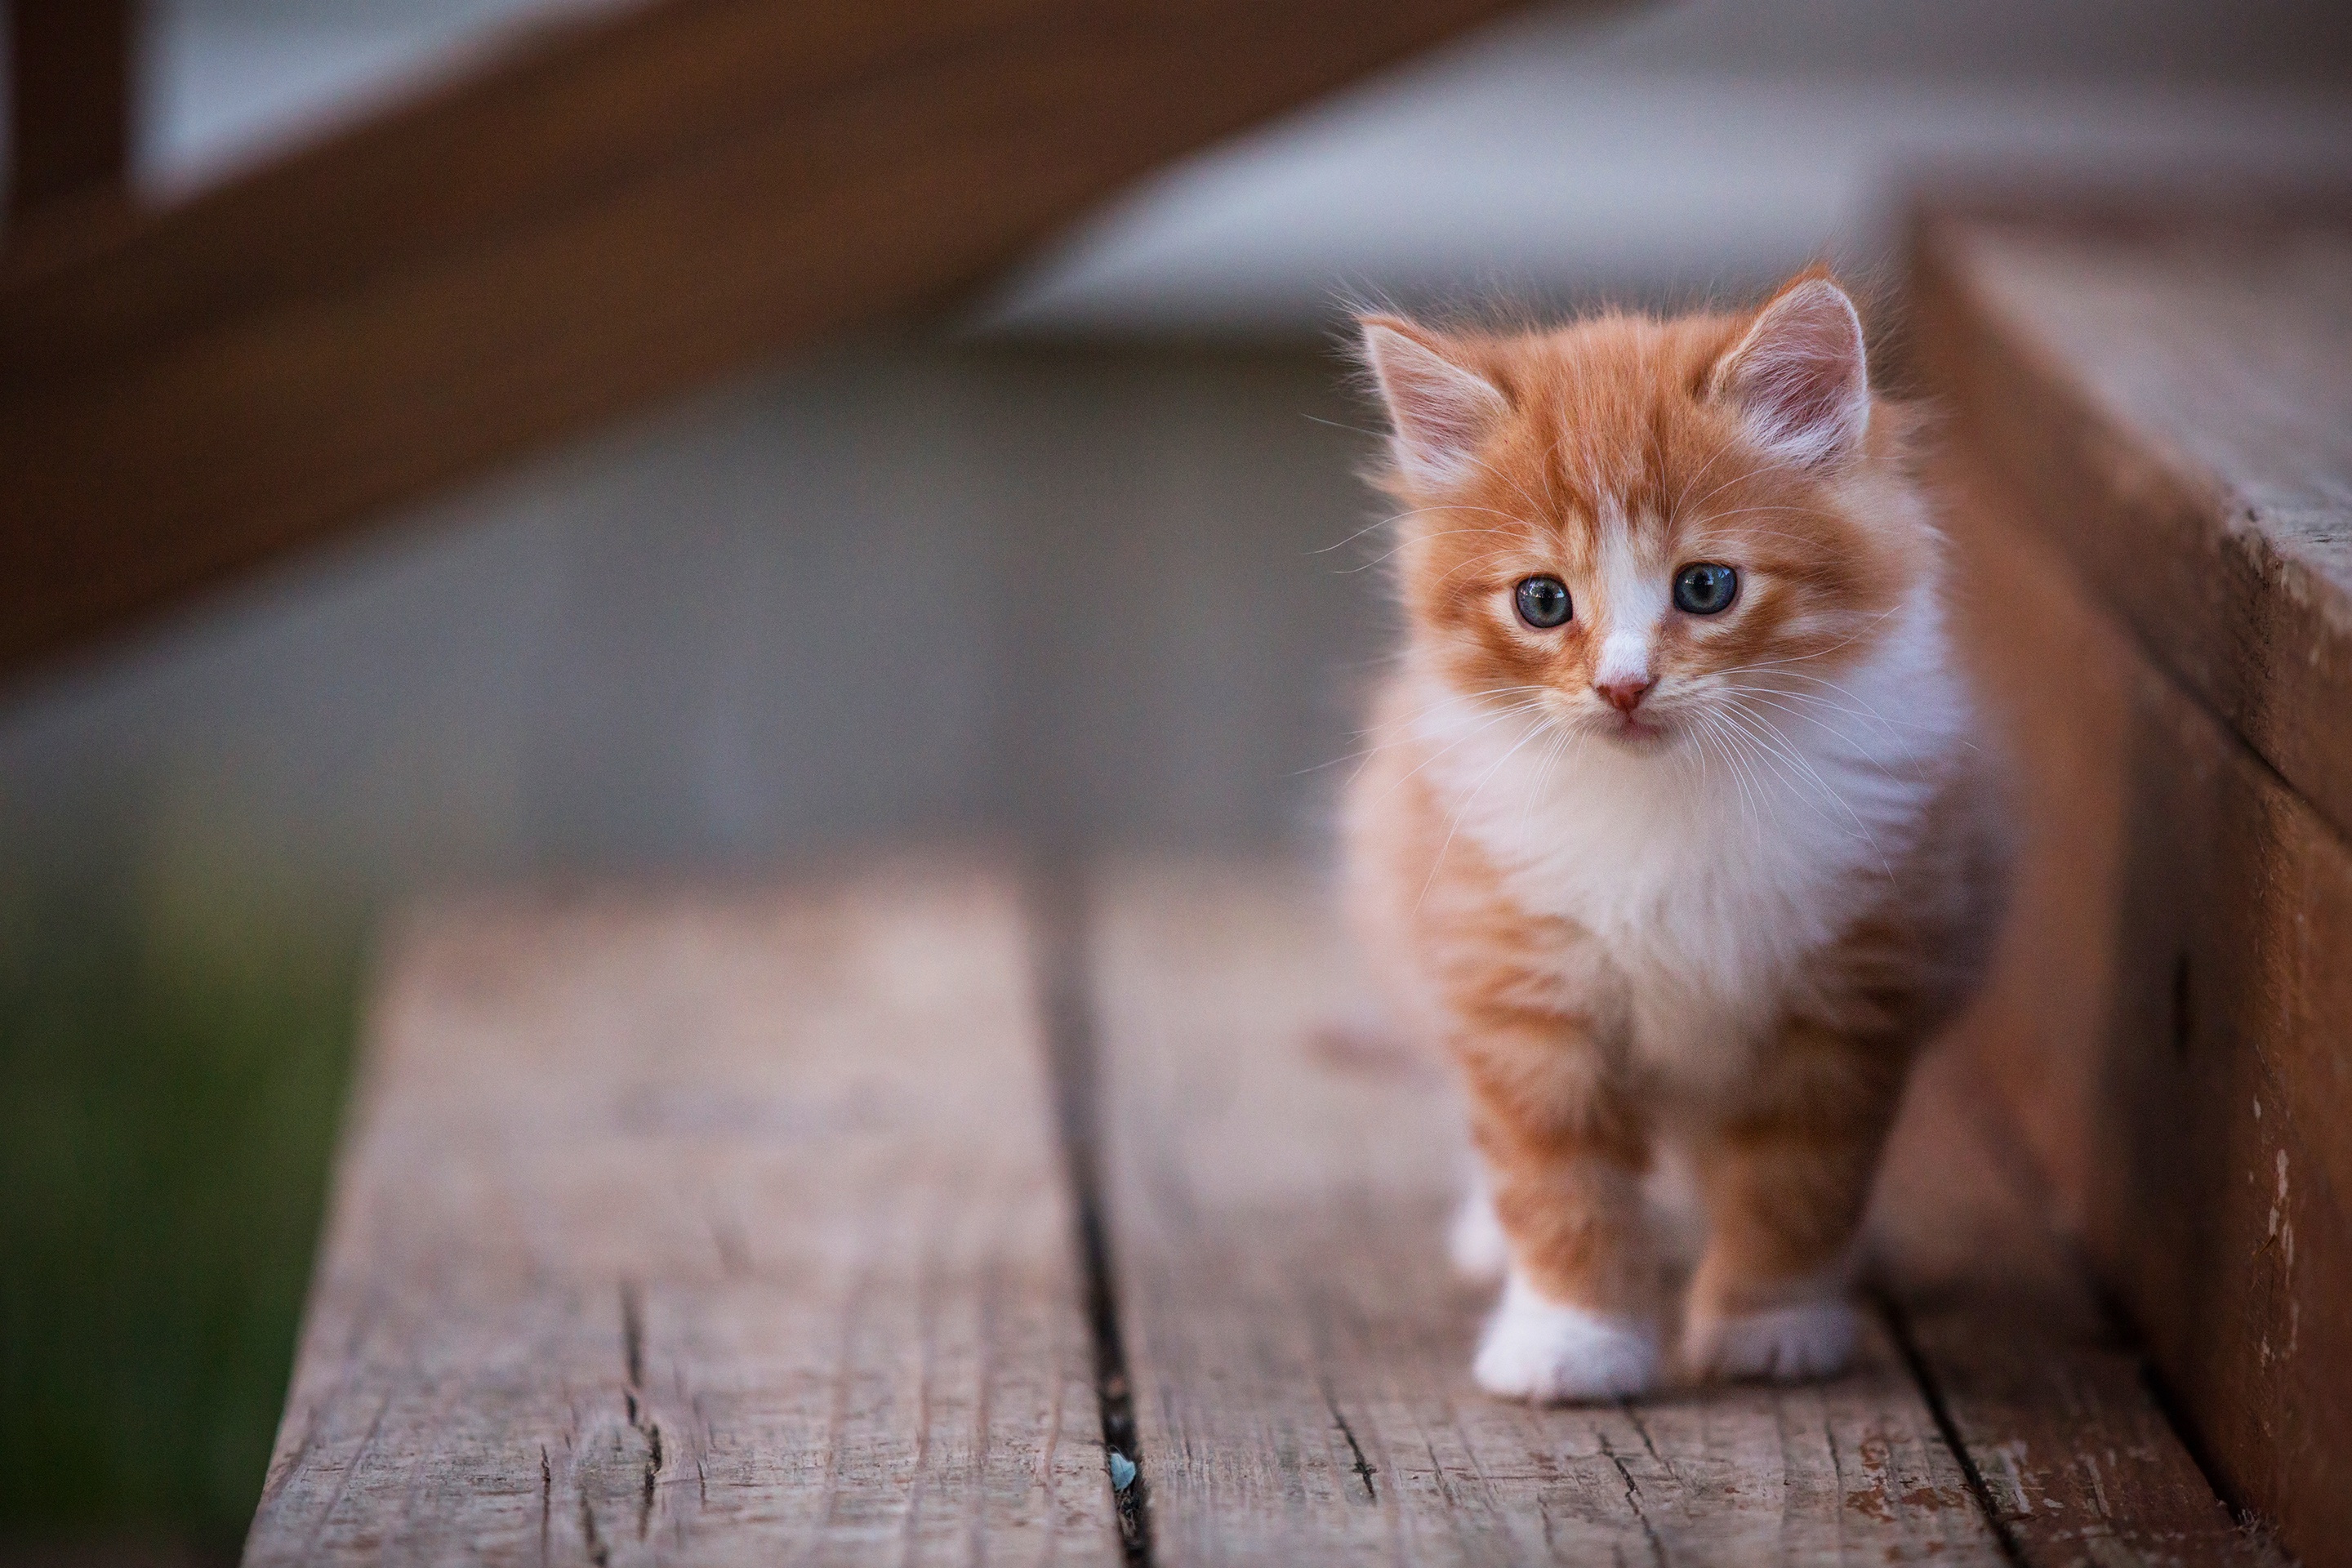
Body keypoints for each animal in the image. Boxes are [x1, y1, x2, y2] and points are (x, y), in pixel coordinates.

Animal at [1345, 276, 2003, 1401]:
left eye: (1705, 587)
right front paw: (1569, 1336)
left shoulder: (1849, 993)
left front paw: (1772, 1323)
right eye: (1543, 600)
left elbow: (1799, 1182)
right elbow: (1556, 1180)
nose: (1623, 686)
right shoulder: (1519, 982)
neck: (1666, 803)